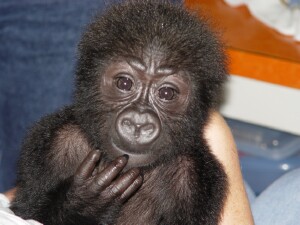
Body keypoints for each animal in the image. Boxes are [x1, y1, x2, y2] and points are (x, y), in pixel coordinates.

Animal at [11, 0, 227, 224]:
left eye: (167, 93)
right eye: (124, 83)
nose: (138, 123)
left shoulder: (198, 180)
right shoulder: (50, 141)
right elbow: (26, 211)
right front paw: (82, 205)